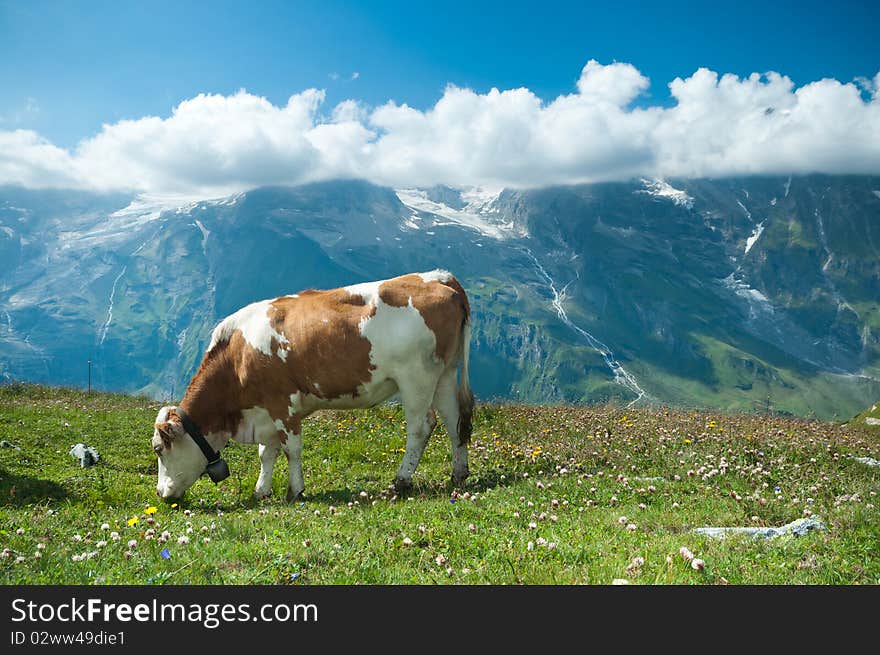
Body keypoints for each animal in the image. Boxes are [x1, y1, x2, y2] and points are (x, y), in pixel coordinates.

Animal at [155, 270, 478, 502]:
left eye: (159, 449)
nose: (160, 494)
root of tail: (438, 277)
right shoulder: (264, 411)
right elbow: (266, 453)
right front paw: (261, 491)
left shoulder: (282, 404)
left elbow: (291, 450)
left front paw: (295, 490)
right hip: (444, 374)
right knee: (454, 421)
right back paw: (458, 473)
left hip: (416, 377)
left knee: (421, 427)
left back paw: (401, 480)